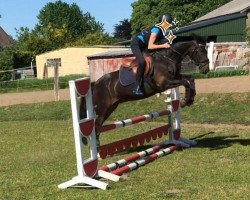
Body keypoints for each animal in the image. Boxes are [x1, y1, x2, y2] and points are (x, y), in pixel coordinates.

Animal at [80, 38, 209, 145]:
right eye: (201, 51)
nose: (206, 69)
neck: (167, 60)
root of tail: (96, 83)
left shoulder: (175, 78)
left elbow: (190, 79)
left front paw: (190, 99)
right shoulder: (165, 84)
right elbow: (186, 82)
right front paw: (185, 101)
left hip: (111, 107)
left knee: (98, 124)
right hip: (102, 109)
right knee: (96, 125)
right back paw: (96, 147)